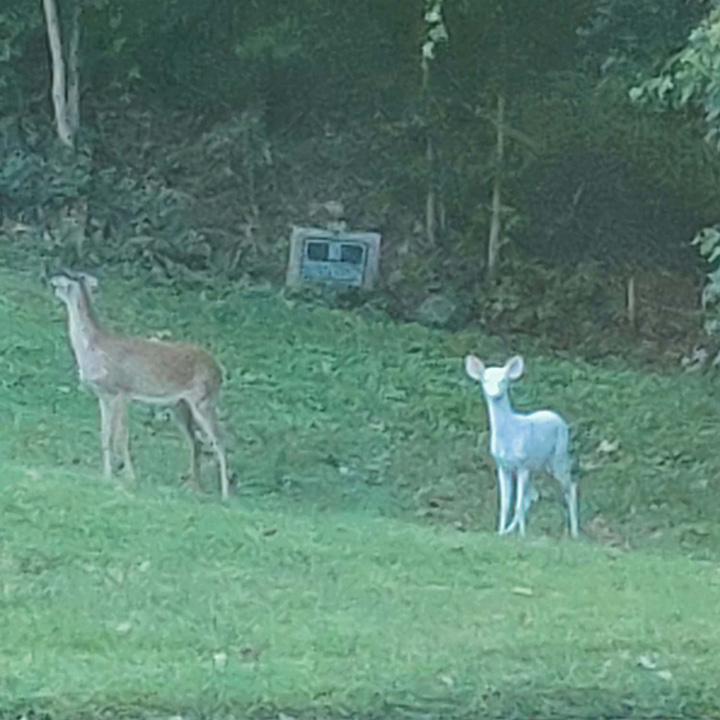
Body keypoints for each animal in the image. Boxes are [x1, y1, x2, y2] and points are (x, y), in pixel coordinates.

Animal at [50, 270, 229, 500]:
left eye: (64, 281)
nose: (52, 280)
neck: (94, 349)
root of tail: (219, 370)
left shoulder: (120, 391)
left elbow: (121, 436)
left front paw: (129, 477)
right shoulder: (103, 395)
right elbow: (105, 434)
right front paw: (107, 475)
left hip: (204, 400)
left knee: (220, 440)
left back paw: (225, 494)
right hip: (179, 406)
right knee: (195, 441)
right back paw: (194, 487)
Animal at [466, 354, 580, 536]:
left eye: (504, 380)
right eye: (485, 379)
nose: (494, 393)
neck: (509, 434)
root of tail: (558, 417)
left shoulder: (522, 465)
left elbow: (517, 503)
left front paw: (522, 535)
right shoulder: (503, 466)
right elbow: (506, 503)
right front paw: (500, 531)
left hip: (559, 456)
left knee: (570, 487)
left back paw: (575, 533)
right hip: (539, 466)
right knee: (533, 495)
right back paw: (509, 530)